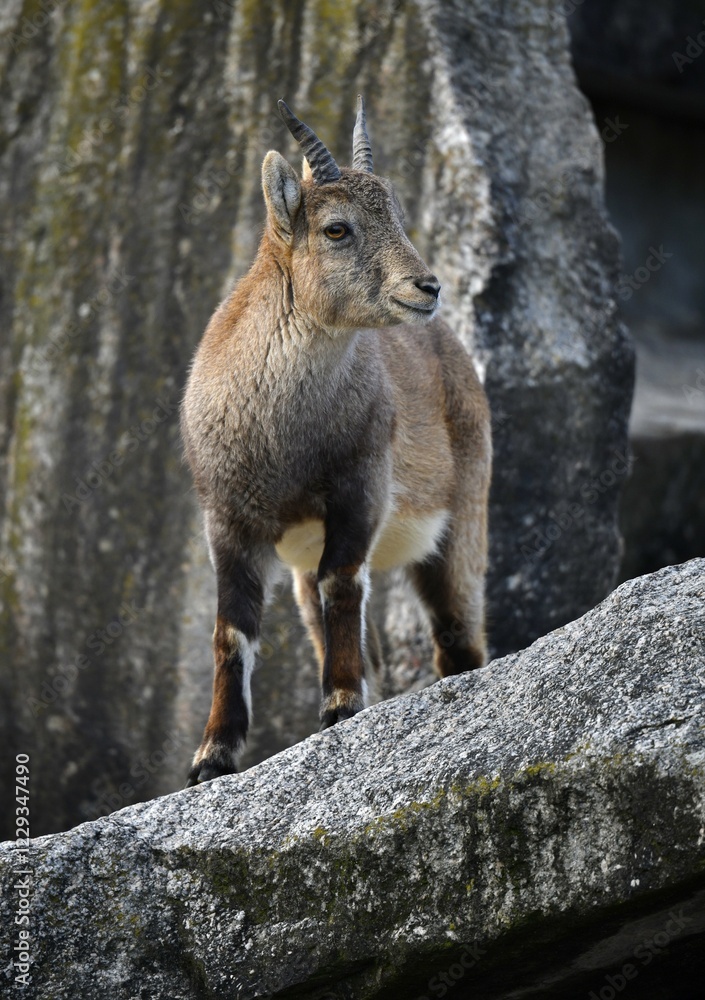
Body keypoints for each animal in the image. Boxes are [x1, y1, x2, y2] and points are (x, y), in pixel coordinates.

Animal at [181, 97, 491, 785]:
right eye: (337, 229)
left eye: (396, 214)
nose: (428, 286)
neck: (282, 440)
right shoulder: (226, 520)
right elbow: (231, 630)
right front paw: (212, 755)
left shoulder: (359, 490)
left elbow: (342, 584)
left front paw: (342, 705)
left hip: (461, 525)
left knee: (459, 638)